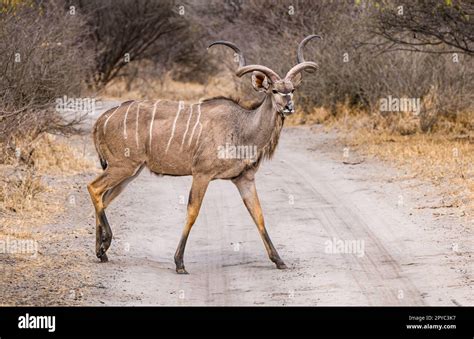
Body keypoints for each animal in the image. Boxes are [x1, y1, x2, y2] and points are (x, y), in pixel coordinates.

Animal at [87, 35, 320, 274]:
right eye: (274, 91)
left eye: (292, 89)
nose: (289, 106)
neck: (241, 128)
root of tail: (100, 121)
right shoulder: (202, 174)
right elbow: (193, 211)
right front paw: (179, 262)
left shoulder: (244, 178)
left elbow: (258, 215)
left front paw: (279, 260)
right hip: (122, 166)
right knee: (94, 188)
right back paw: (105, 243)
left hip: (131, 172)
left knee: (104, 198)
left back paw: (102, 251)